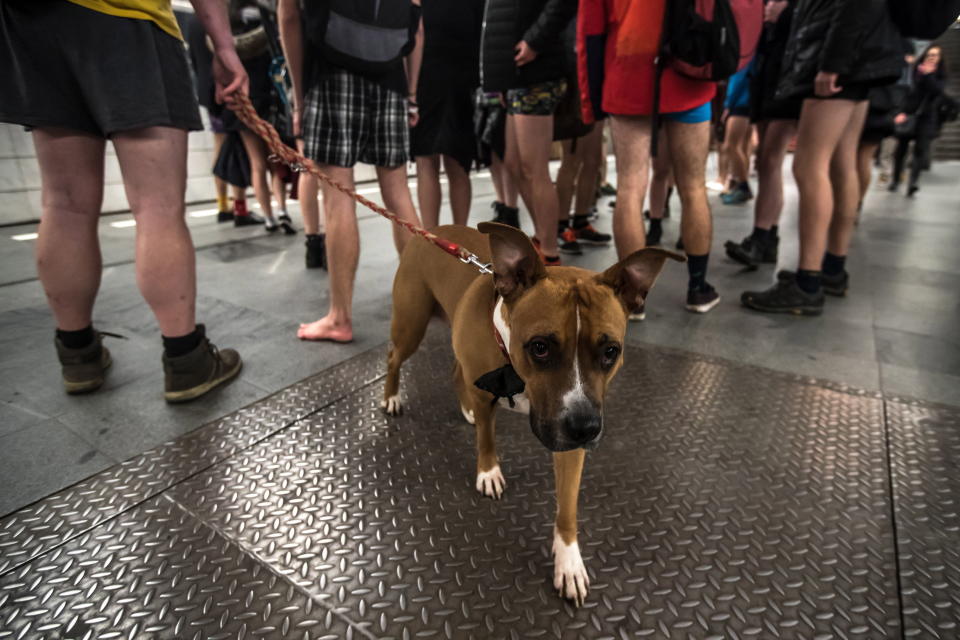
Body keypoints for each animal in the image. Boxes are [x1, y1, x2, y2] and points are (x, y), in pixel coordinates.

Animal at [382, 224, 684, 604]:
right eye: (539, 347)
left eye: (610, 351)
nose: (586, 427)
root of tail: (433, 231)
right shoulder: (493, 398)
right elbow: (487, 438)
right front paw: (488, 472)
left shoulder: (569, 443)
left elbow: (567, 507)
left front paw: (569, 562)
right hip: (411, 326)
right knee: (394, 358)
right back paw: (392, 397)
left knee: (456, 371)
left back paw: (464, 408)